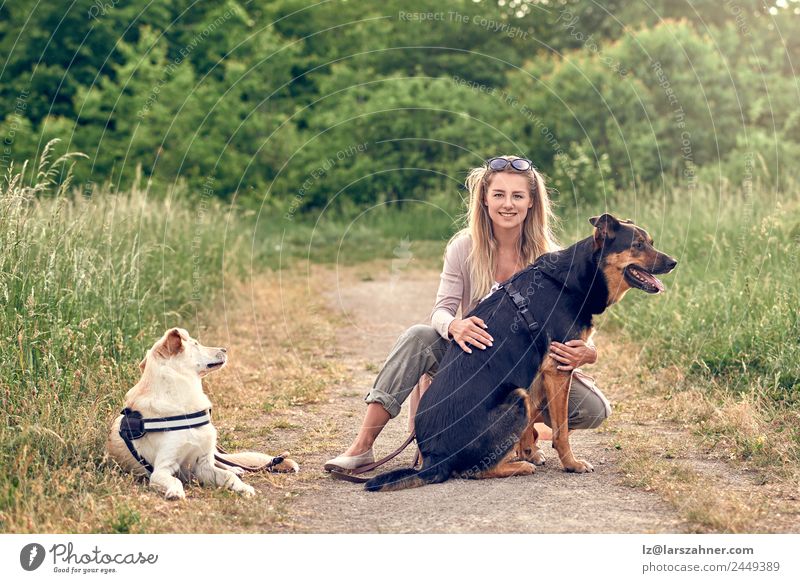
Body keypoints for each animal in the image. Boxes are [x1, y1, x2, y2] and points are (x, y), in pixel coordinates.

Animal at [108, 328, 298, 502]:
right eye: (196, 344)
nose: (224, 349)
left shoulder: (203, 465)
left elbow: (228, 476)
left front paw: (243, 488)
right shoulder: (161, 470)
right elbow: (175, 480)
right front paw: (175, 492)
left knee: (224, 462)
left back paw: (236, 468)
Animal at [368, 214, 676, 492]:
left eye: (650, 242)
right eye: (637, 245)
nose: (674, 262)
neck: (573, 279)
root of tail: (435, 460)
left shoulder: (538, 370)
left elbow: (536, 414)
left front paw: (530, 449)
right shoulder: (558, 368)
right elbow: (561, 431)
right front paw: (571, 464)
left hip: (518, 394)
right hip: (514, 399)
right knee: (472, 471)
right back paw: (518, 467)